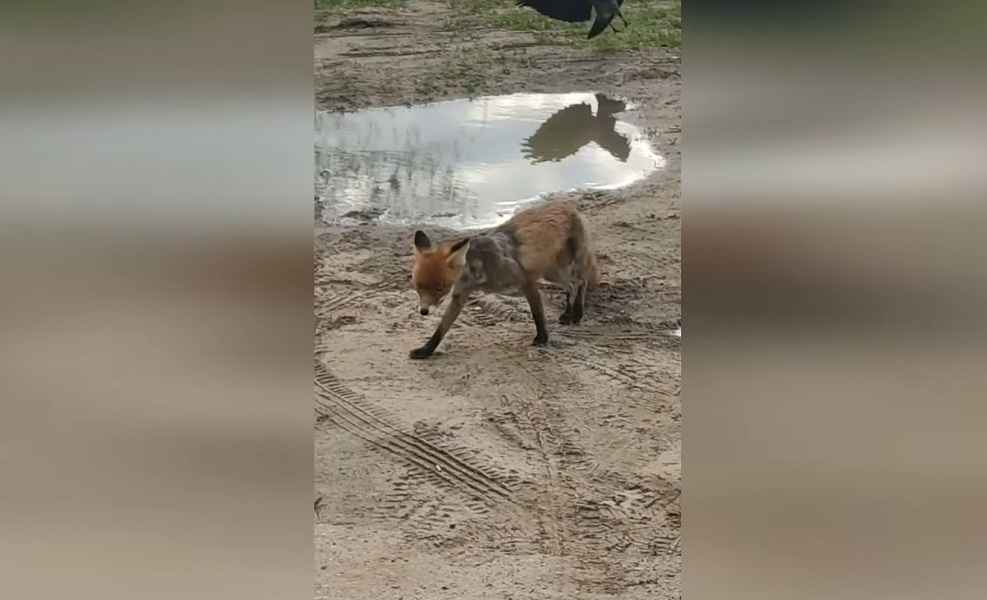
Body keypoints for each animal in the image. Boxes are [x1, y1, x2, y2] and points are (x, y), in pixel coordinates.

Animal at [409, 200, 599, 359]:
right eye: (418, 287)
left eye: (440, 288)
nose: (423, 311)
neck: (481, 271)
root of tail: (567, 205)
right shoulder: (460, 296)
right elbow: (441, 328)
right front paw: (426, 350)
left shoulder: (528, 283)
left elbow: (538, 315)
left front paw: (542, 339)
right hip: (552, 273)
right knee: (572, 286)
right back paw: (571, 313)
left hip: (561, 269)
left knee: (580, 282)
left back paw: (576, 313)